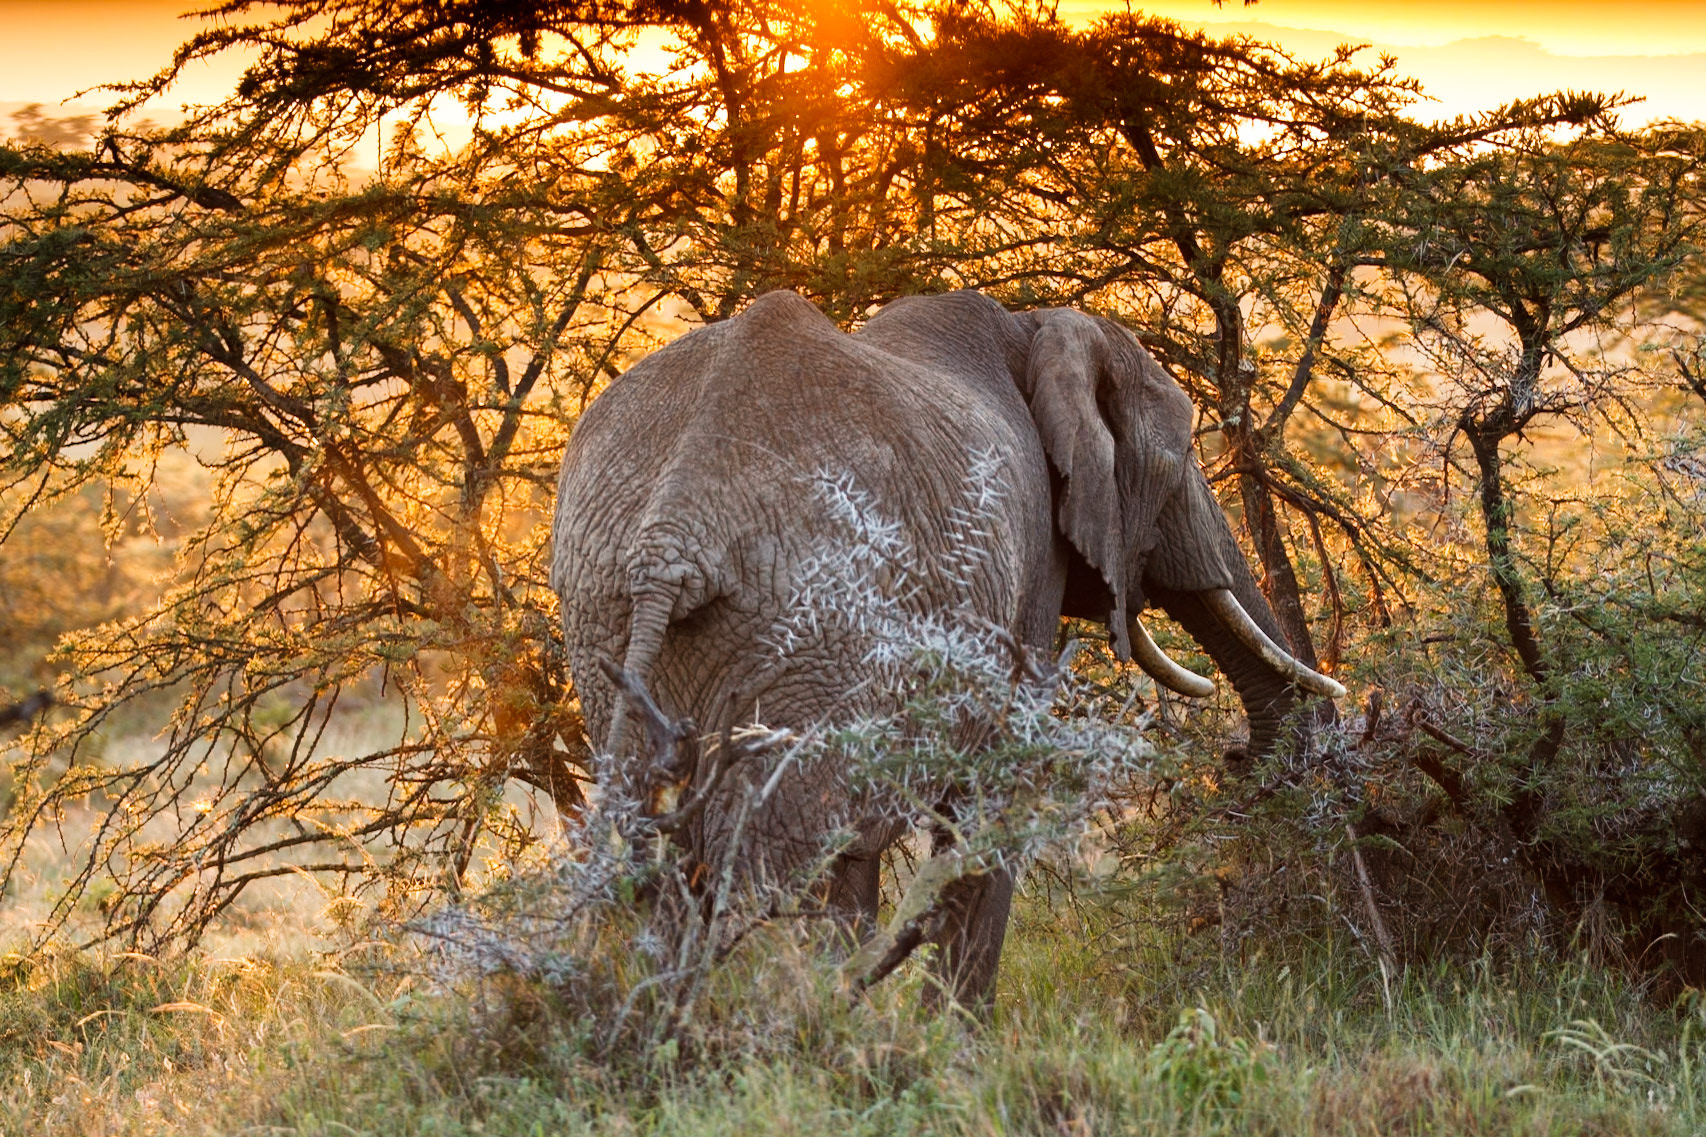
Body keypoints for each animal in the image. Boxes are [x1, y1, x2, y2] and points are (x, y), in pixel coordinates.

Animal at [549, 289, 1341, 1005]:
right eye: (1179, 462)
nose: (1232, 762)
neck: (1037, 324)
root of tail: (671, 534)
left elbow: (863, 851)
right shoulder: (1027, 565)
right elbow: (995, 783)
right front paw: (948, 1042)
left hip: (609, 621)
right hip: (808, 627)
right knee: (768, 858)